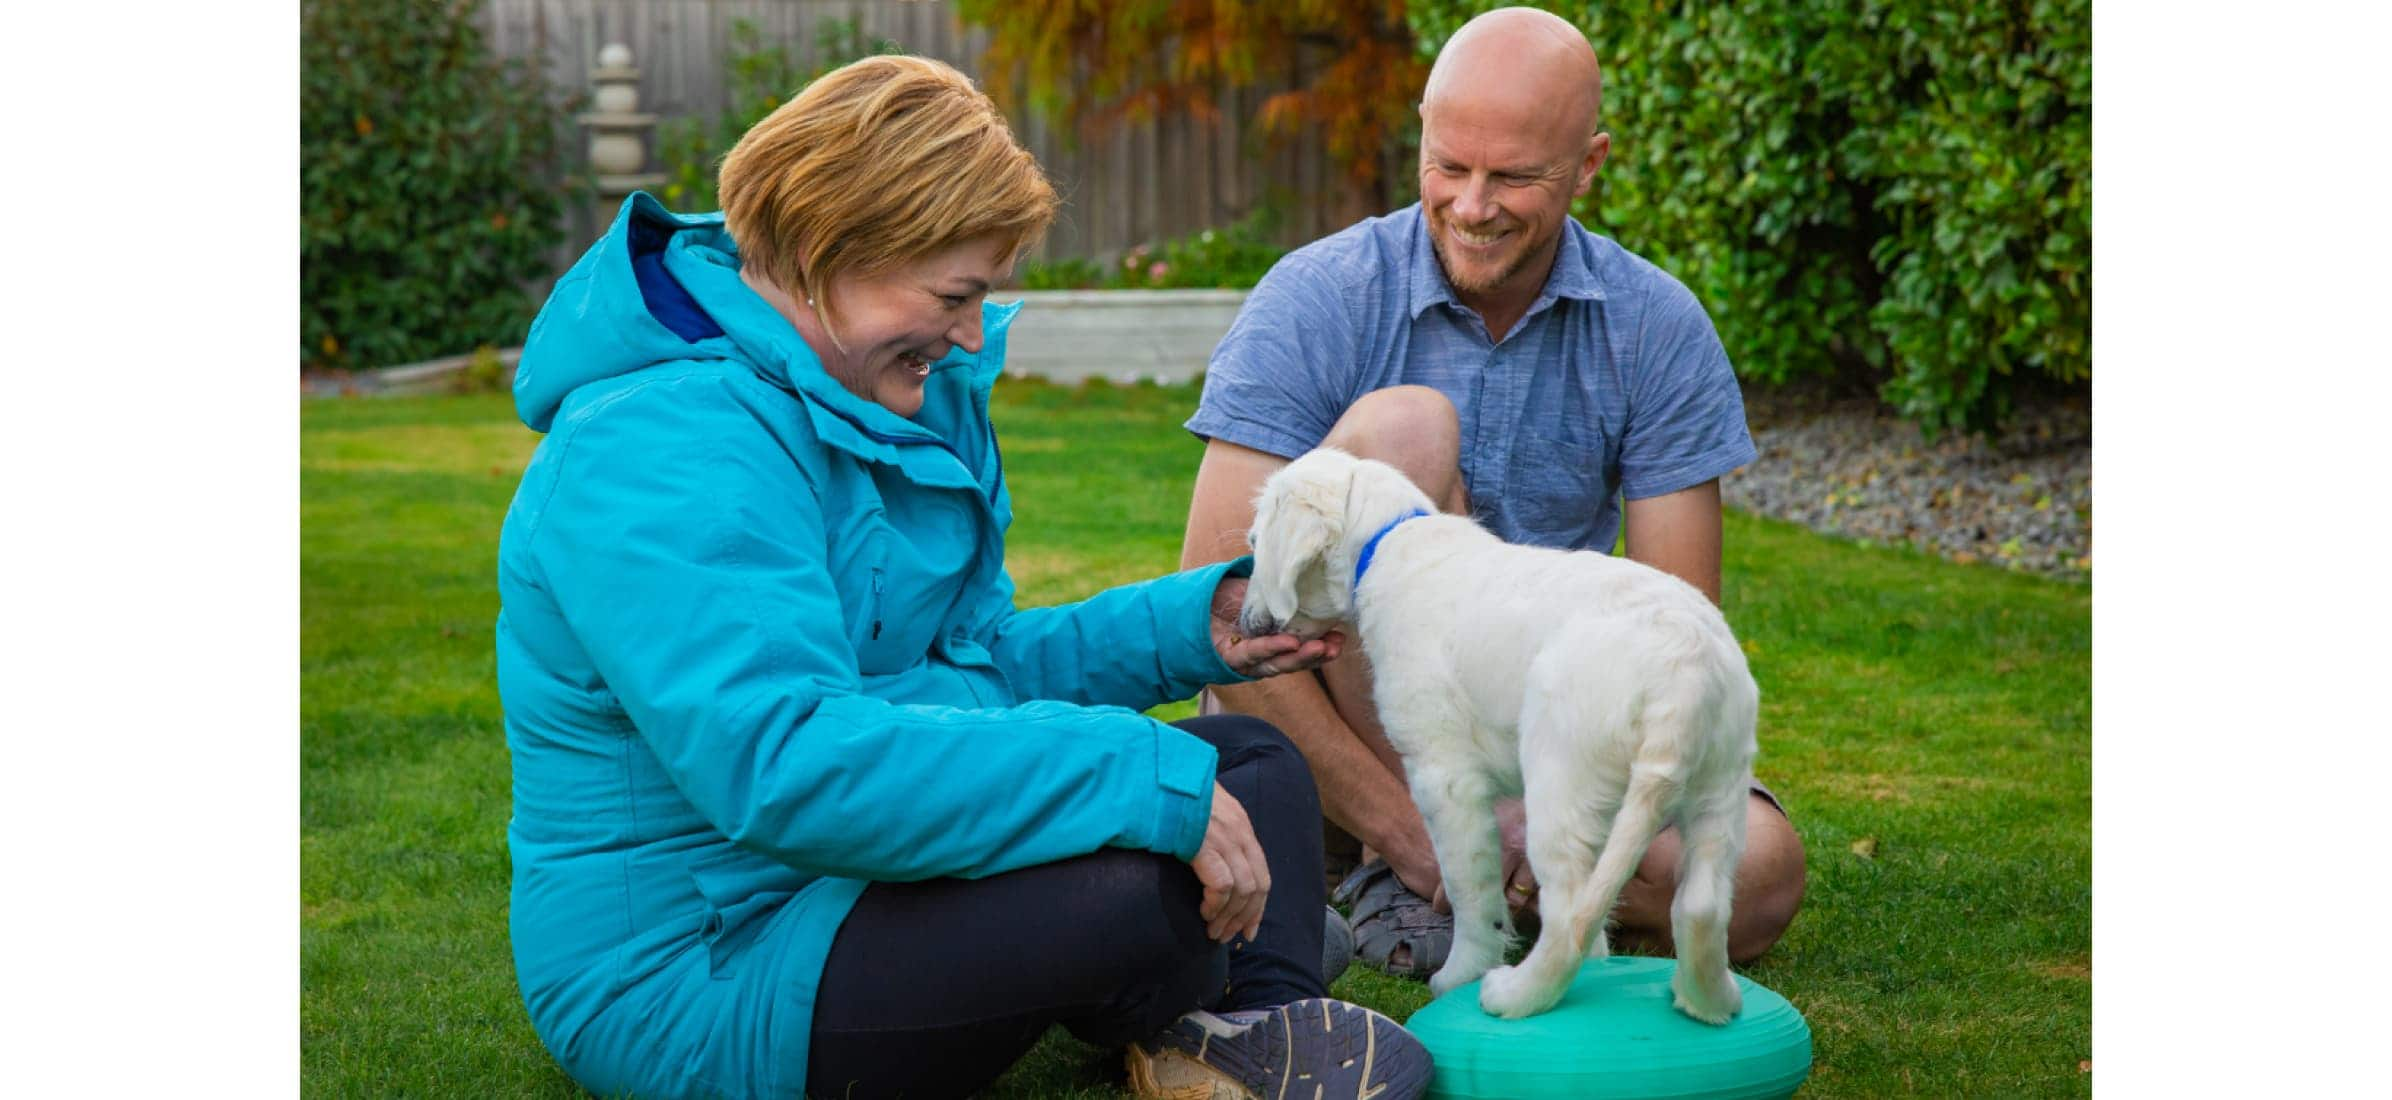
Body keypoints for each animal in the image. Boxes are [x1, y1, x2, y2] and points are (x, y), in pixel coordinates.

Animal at [1243, 447, 1770, 1023]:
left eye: (1254, 544)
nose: (1243, 620)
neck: (1388, 542)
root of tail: (1684, 670)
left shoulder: (1444, 777)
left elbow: (1470, 889)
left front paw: (1460, 976)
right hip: (1719, 784)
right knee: (1699, 905)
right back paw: (1709, 1002)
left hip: (1563, 779)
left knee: (1570, 912)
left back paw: (1515, 995)